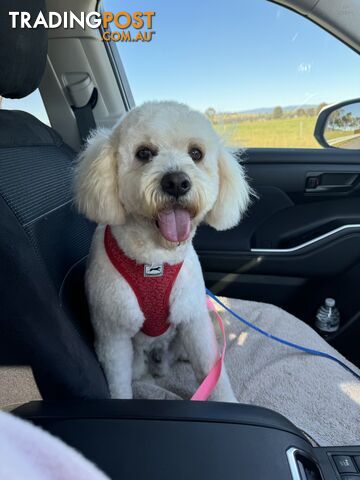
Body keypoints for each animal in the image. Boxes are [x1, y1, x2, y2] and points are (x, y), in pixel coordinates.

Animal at [74, 100, 250, 402]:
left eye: (196, 153)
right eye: (144, 153)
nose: (177, 182)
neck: (153, 259)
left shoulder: (194, 321)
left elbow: (212, 373)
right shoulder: (113, 335)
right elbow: (118, 383)